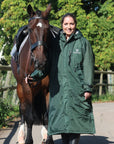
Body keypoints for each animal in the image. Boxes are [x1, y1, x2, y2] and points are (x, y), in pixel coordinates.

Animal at [10, 3, 54, 143]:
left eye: (47, 29)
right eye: (29, 30)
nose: (41, 61)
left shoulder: (48, 89)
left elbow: (48, 115)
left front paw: (49, 139)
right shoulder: (26, 87)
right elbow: (29, 117)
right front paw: (28, 140)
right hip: (20, 89)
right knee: (23, 111)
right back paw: (21, 136)